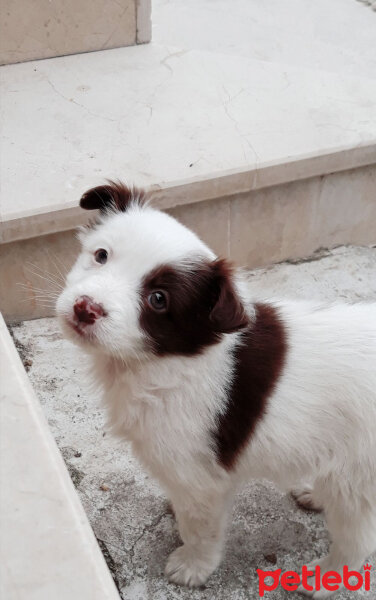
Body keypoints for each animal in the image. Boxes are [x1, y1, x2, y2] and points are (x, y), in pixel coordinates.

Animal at [55, 183, 376, 596]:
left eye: (158, 299)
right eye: (101, 255)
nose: (85, 308)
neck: (169, 358)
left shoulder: (199, 476)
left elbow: (200, 526)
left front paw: (193, 566)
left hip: (360, 473)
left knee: (358, 537)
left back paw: (326, 577)